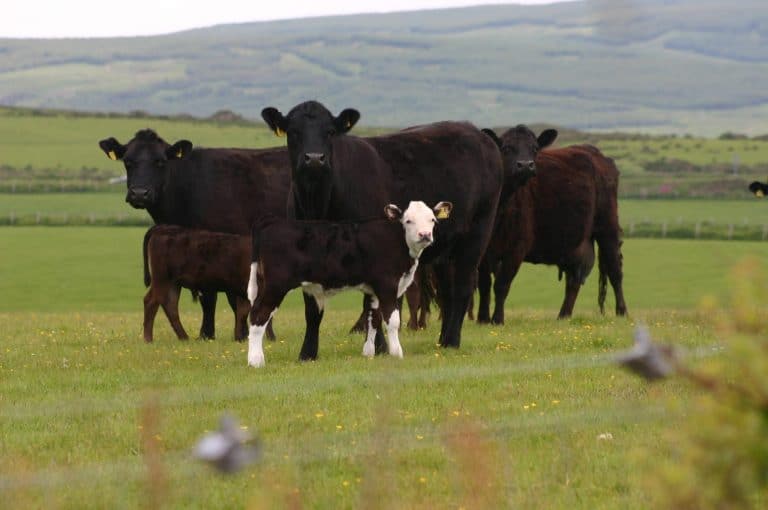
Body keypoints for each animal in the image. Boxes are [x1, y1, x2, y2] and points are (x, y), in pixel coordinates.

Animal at [99, 129, 290, 339]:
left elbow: (229, 298)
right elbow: (215, 297)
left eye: (160, 161)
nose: (139, 193)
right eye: (127, 161)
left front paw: (235, 334)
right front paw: (211, 334)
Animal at [246, 200, 453, 367]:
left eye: (432, 220)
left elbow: (373, 319)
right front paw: (397, 354)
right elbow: (392, 320)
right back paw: (256, 361)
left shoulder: (373, 290)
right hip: (275, 286)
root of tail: (272, 221)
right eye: (408, 221)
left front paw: (369, 353)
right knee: (258, 315)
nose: (425, 234)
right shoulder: (387, 285)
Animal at [260, 100, 503, 358]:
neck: (319, 203)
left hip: (477, 233)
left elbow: (371, 305)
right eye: (293, 131)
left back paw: (452, 341)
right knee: (447, 291)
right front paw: (307, 353)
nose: (314, 158)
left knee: (463, 286)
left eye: (330, 131)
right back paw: (443, 340)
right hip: (447, 247)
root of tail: (476, 131)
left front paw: (378, 348)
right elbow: (313, 308)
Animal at [477, 125, 627, 323]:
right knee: (574, 280)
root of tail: (594, 152)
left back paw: (622, 312)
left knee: (614, 270)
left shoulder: (517, 249)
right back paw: (563, 316)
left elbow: (502, 285)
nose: (526, 165)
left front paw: (497, 320)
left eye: (535, 148)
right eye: (506, 148)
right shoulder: (481, 249)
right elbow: (484, 284)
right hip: (576, 243)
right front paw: (482, 319)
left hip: (607, 227)